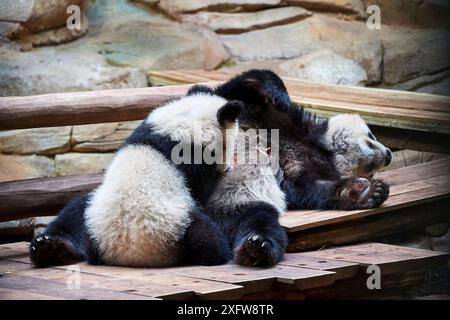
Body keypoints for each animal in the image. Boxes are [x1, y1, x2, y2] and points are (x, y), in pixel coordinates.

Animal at [29, 92, 244, 268]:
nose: (227, 167)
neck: (184, 122)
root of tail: (127, 253)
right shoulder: (194, 162)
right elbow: (201, 191)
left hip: (94, 216)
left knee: (74, 211)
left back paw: (50, 248)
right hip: (174, 224)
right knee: (206, 238)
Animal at [186, 69, 390, 268]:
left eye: (370, 170)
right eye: (371, 137)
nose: (388, 154)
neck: (322, 149)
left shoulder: (303, 172)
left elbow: (309, 190)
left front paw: (359, 192)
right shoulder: (279, 120)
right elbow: (235, 88)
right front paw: (278, 94)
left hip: (233, 203)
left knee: (257, 219)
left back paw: (257, 249)